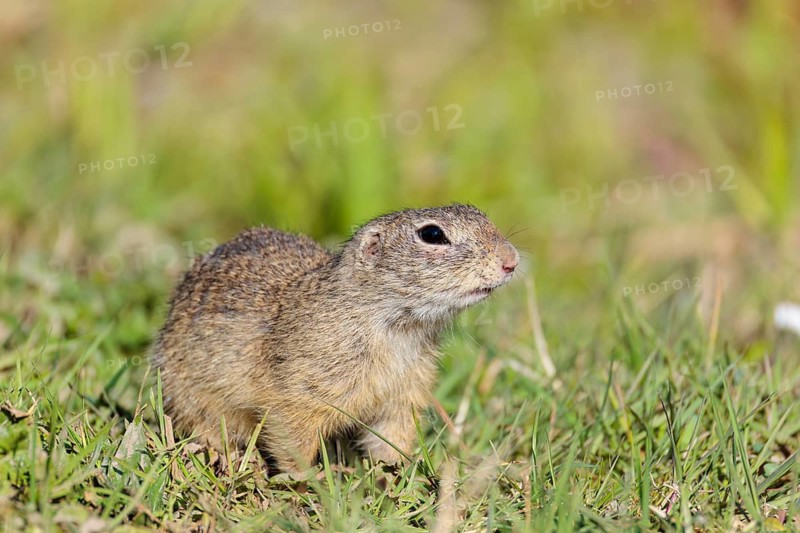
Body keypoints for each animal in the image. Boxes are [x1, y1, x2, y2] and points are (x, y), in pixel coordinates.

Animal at [151, 204, 519, 473]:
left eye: (480, 213)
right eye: (433, 234)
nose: (511, 260)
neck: (396, 328)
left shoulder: (405, 391)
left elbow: (392, 434)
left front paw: (395, 474)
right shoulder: (299, 393)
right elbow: (292, 439)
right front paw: (306, 482)